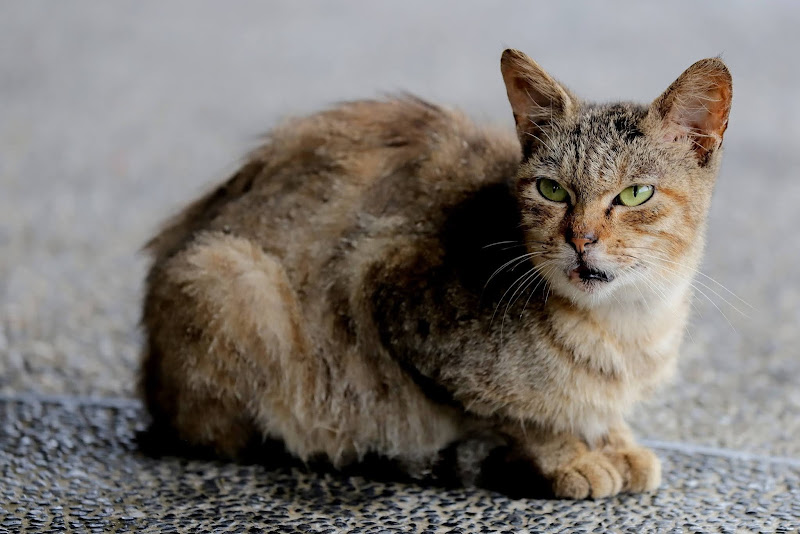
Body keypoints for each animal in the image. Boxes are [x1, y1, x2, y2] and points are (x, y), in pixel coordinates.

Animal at [139, 48, 732, 500]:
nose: (580, 238)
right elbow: (519, 416)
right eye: (552, 190)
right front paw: (569, 454)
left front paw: (614, 440)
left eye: (635, 194)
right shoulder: (380, 286)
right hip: (229, 276)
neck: (628, 324)